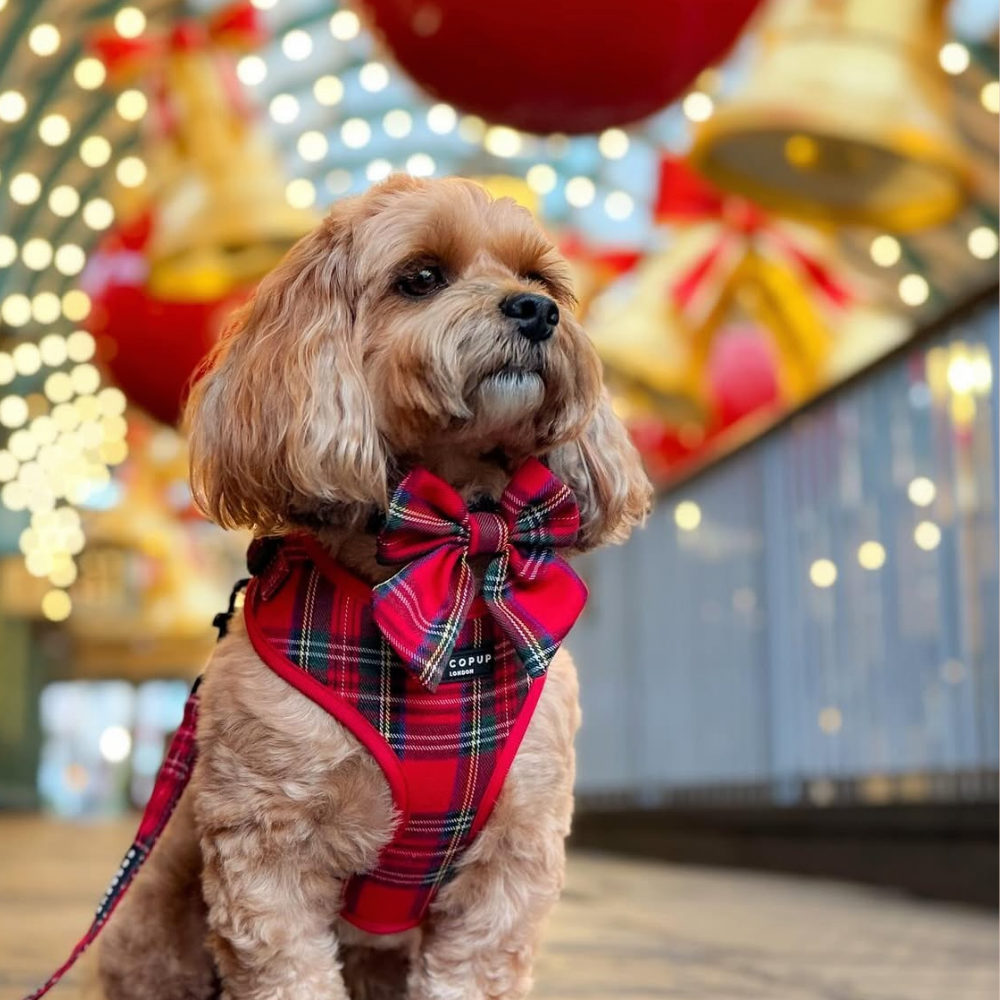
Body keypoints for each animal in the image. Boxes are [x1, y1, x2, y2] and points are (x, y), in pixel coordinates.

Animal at [97, 174, 652, 1000]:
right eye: (420, 277)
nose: (536, 311)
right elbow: (291, 971)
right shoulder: (267, 846)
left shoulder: (511, 857)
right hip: (154, 925)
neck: (447, 560)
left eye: (542, 280)